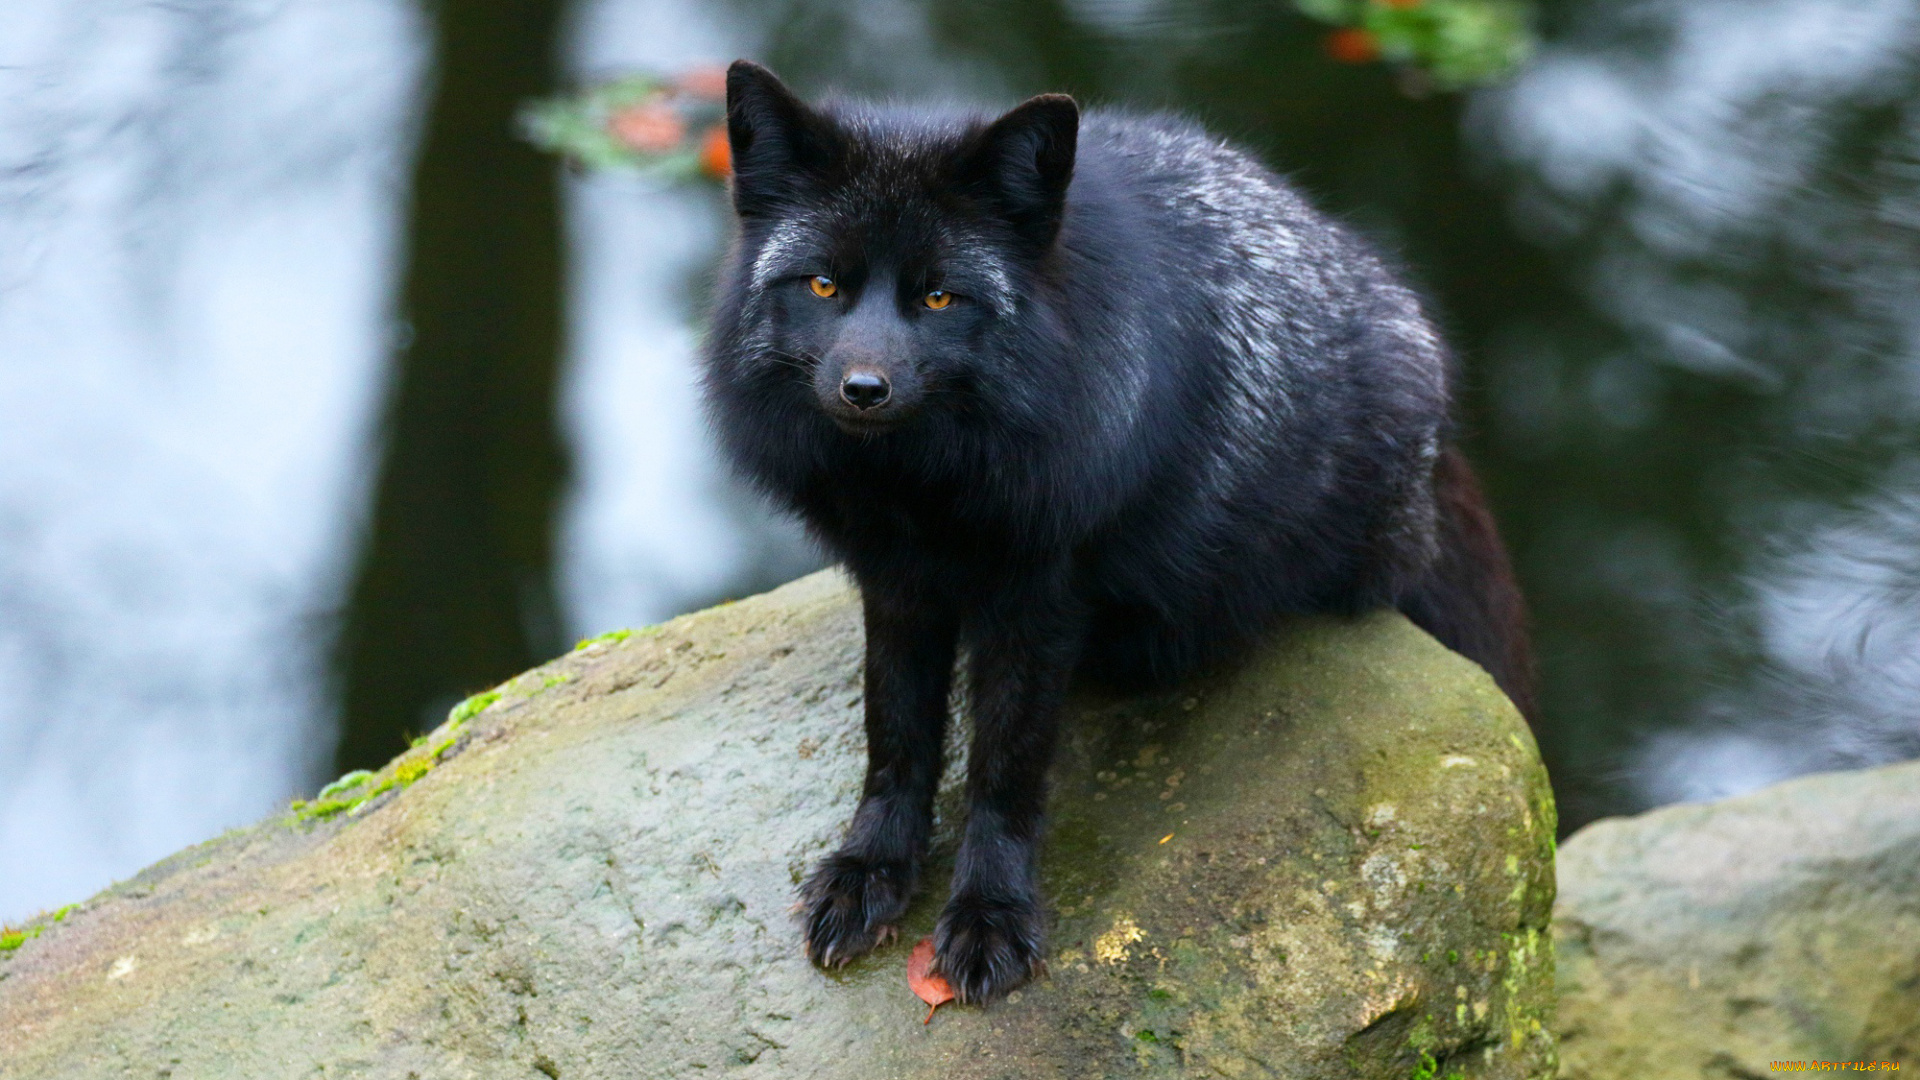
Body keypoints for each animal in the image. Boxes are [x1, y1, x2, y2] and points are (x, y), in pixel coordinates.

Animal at [701, 60, 1534, 1004]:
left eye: (941, 296)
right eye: (823, 286)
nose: (864, 388)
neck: (924, 492)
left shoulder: (1042, 598)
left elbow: (1004, 770)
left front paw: (990, 914)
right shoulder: (897, 585)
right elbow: (898, 738)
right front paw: (869, 873)